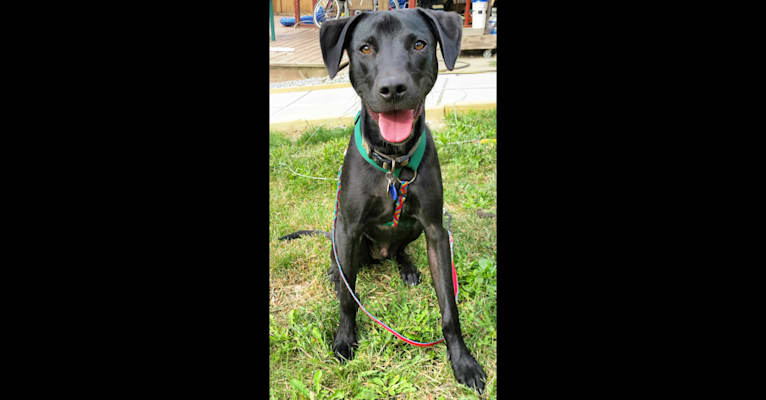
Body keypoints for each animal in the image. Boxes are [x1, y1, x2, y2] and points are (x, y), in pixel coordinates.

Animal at [282, 7, 486, 392]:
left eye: (419, 44)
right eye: (365, 48)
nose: (392, 89)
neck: (393, 162)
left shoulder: (435, 231)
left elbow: (449, 309)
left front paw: (463, 361)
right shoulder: (347, 228)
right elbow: (348, 300)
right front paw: (345, 339)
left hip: (412, 232)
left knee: (399, 250)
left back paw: (406, 266)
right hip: (340, 234)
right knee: (342, 269)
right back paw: (337, 275)